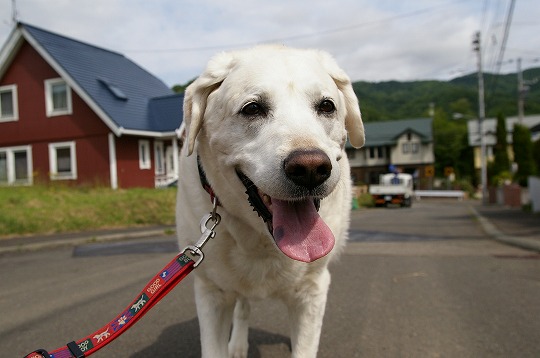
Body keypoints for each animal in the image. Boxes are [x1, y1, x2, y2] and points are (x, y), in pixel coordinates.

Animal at [176, 45, 362, 358]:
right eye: (252, 108)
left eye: (326, 106)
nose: (310, 168)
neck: (263, 240)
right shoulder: (210, 291)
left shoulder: (313, 289)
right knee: (244, 306)